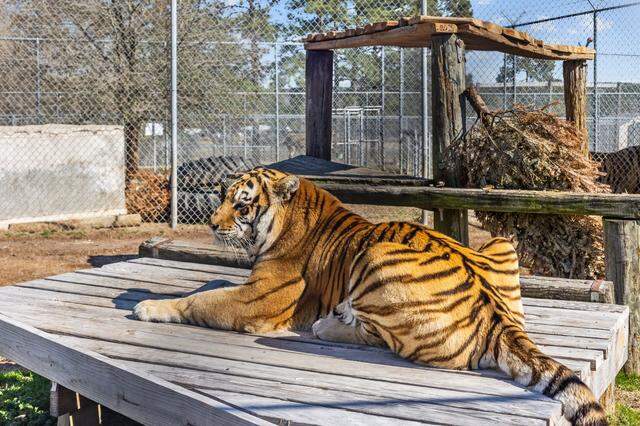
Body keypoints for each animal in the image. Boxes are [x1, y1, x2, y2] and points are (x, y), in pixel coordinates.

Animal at [133, 166, 606, 425]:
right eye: (223, 197)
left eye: (243, 204)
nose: (212, 225)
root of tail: (497, 317)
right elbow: (210, 286)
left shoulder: (261, 297)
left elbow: (199, 300)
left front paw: (147, 306)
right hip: (501, 243)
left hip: (374, 255)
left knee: (380, 338)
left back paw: (328, 325)